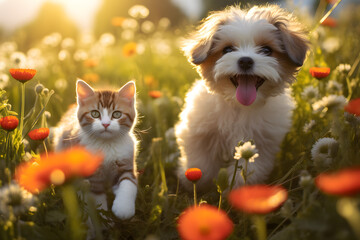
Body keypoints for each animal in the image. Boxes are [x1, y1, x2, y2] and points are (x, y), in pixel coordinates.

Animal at [53, 79, 138, 220]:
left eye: (117, 114)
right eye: (94, 113)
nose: (105, 124)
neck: (106, 145)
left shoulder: (126, 161)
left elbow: (128, 182)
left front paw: (123, 209)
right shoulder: (91, 176)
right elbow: (97, 199)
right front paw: (103, 220)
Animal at [175, 4, 310, 191]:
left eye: (266, 50)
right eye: (227, 50)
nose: (245, 60)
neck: (239, 106)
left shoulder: (260, 143)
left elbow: (250, 170)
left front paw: (238, 191)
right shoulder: (198, 133)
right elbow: (200, 163)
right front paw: (197, 185)